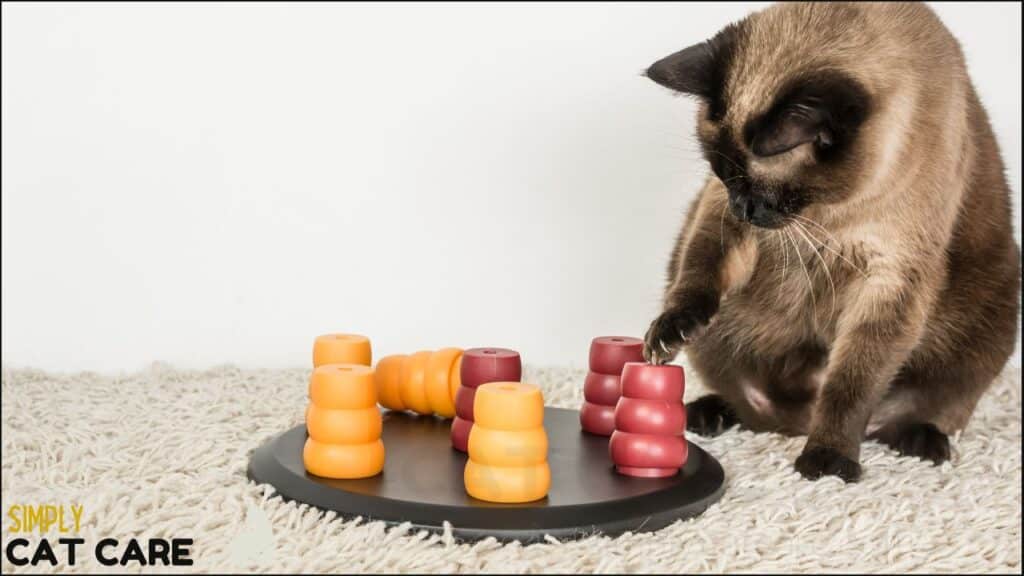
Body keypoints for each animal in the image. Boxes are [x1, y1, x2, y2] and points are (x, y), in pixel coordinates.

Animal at [643, 2, 1019, 479]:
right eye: (724, 176)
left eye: (764, 192)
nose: (744, 208)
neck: (830, 213)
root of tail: (798, 421)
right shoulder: (718, 219)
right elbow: (699, 274)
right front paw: (668, 332)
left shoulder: (890, 277)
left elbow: (848, 388)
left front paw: (828, 461)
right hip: (718, 336)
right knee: (748, 405)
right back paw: (706, 414)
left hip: (988, 324)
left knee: (915, 411)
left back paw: (923, 443)